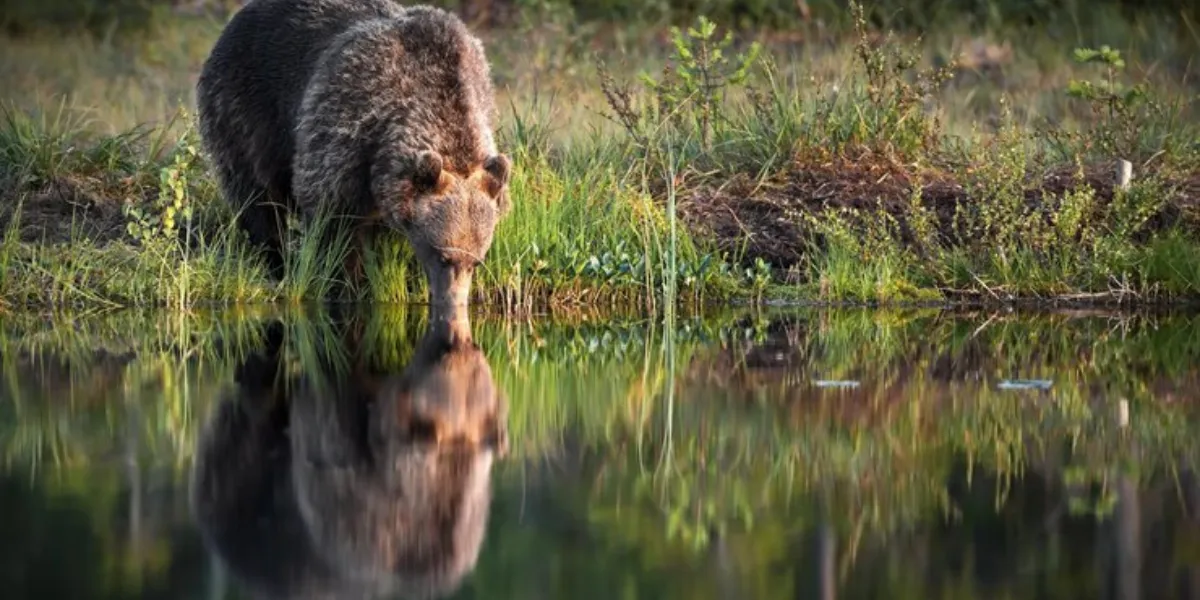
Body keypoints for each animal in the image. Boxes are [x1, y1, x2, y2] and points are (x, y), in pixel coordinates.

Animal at [198, 0, 511, 307]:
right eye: (442, 255)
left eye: (477, 261)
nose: (453, 303)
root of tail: (238, 16)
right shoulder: (347, 125)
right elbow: (334, 222)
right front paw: (347, 281)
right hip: (245, 109)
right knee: (256, 196)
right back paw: (275, 259)